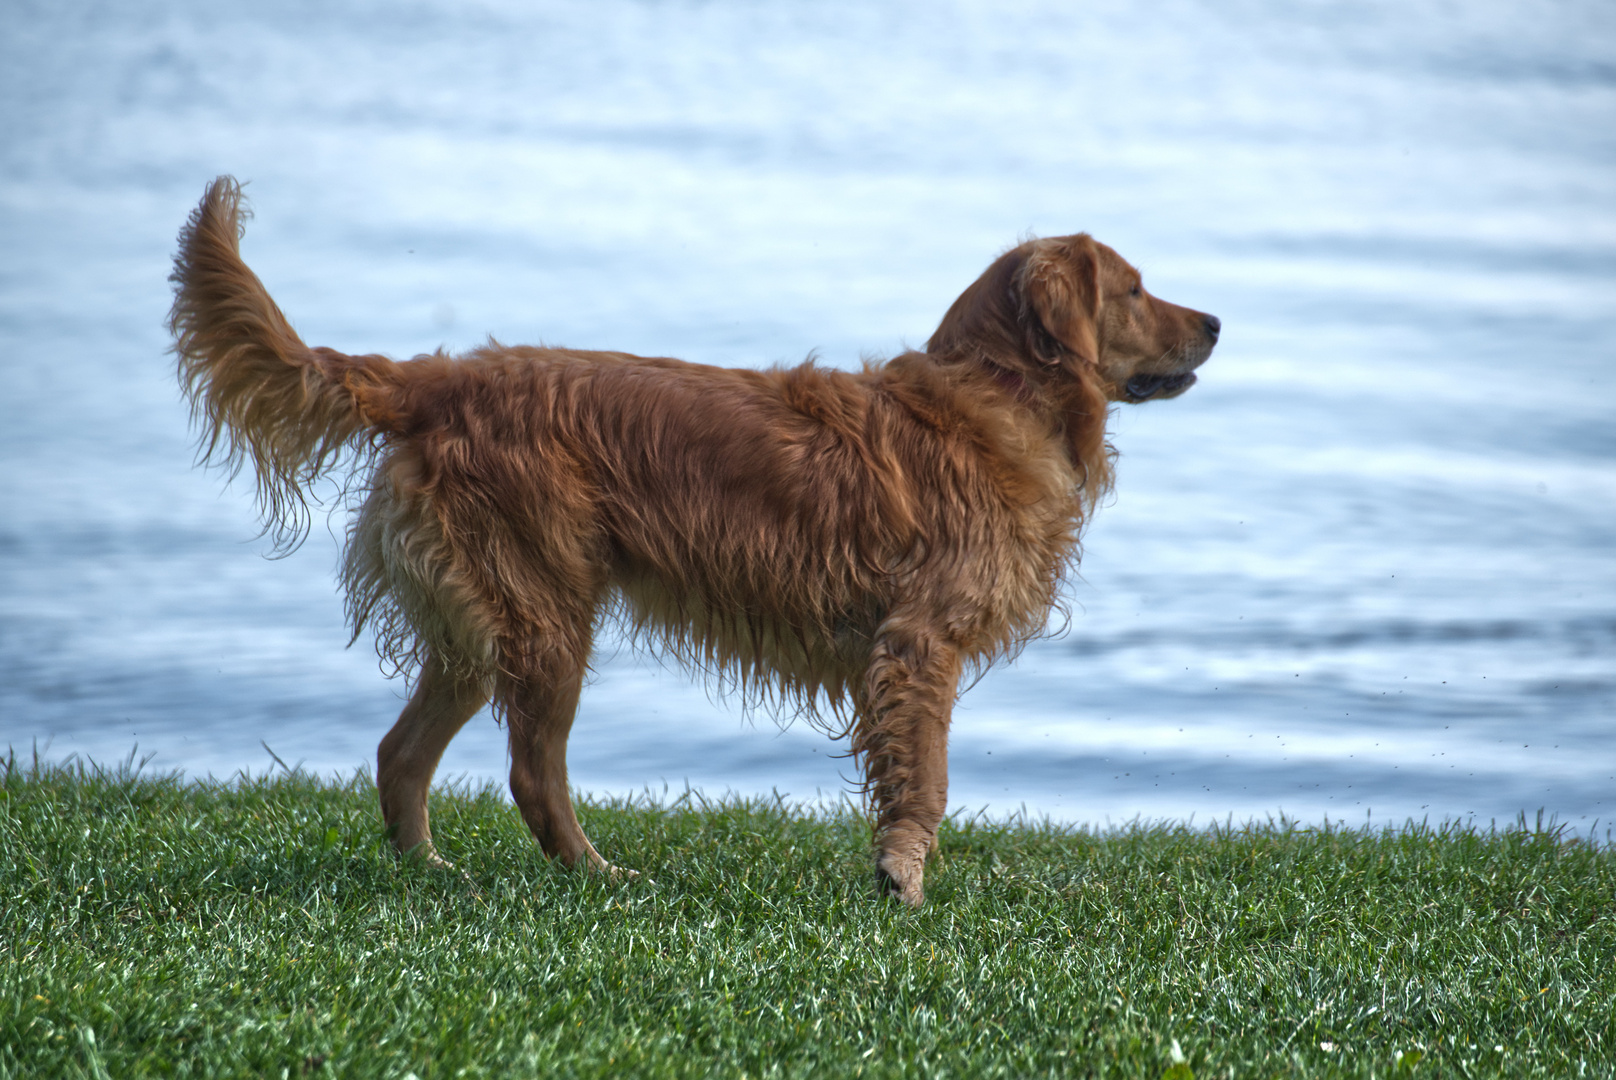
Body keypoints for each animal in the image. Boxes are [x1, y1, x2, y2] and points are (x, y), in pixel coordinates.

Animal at [170, 177, 1215, 905]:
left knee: (401, 754)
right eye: (1134, 289)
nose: (1212, 321)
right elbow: (925, 782)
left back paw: (428, 875)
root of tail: (437, 379)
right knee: (531, 770)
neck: (990, 397)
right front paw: (903, 879)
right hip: (547, 616)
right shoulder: (919, 645)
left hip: (480, 623)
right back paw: (596, 878)